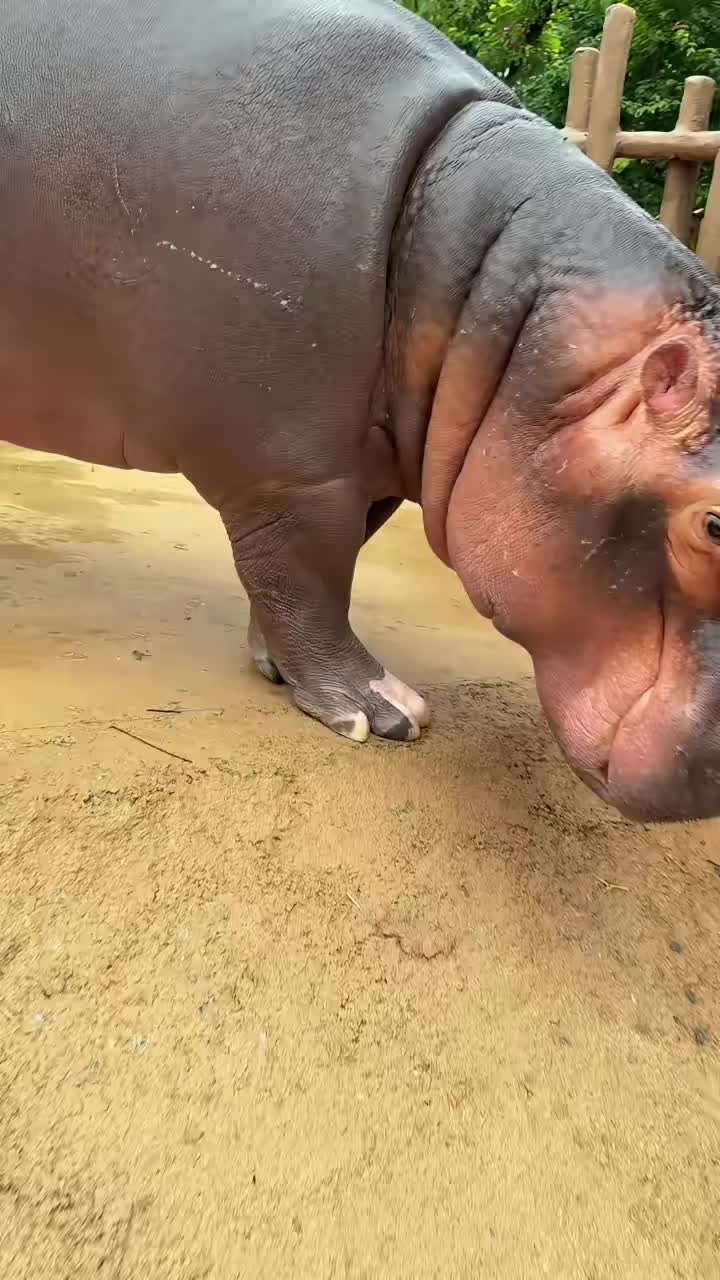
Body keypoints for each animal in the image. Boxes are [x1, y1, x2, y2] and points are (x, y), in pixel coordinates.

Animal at [2, 0, 720, 822]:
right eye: (713, 523)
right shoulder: (297, 475)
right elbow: (309, 575)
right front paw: (380, 715)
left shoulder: (365, 461)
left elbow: (310, 575)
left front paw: (275, 666)